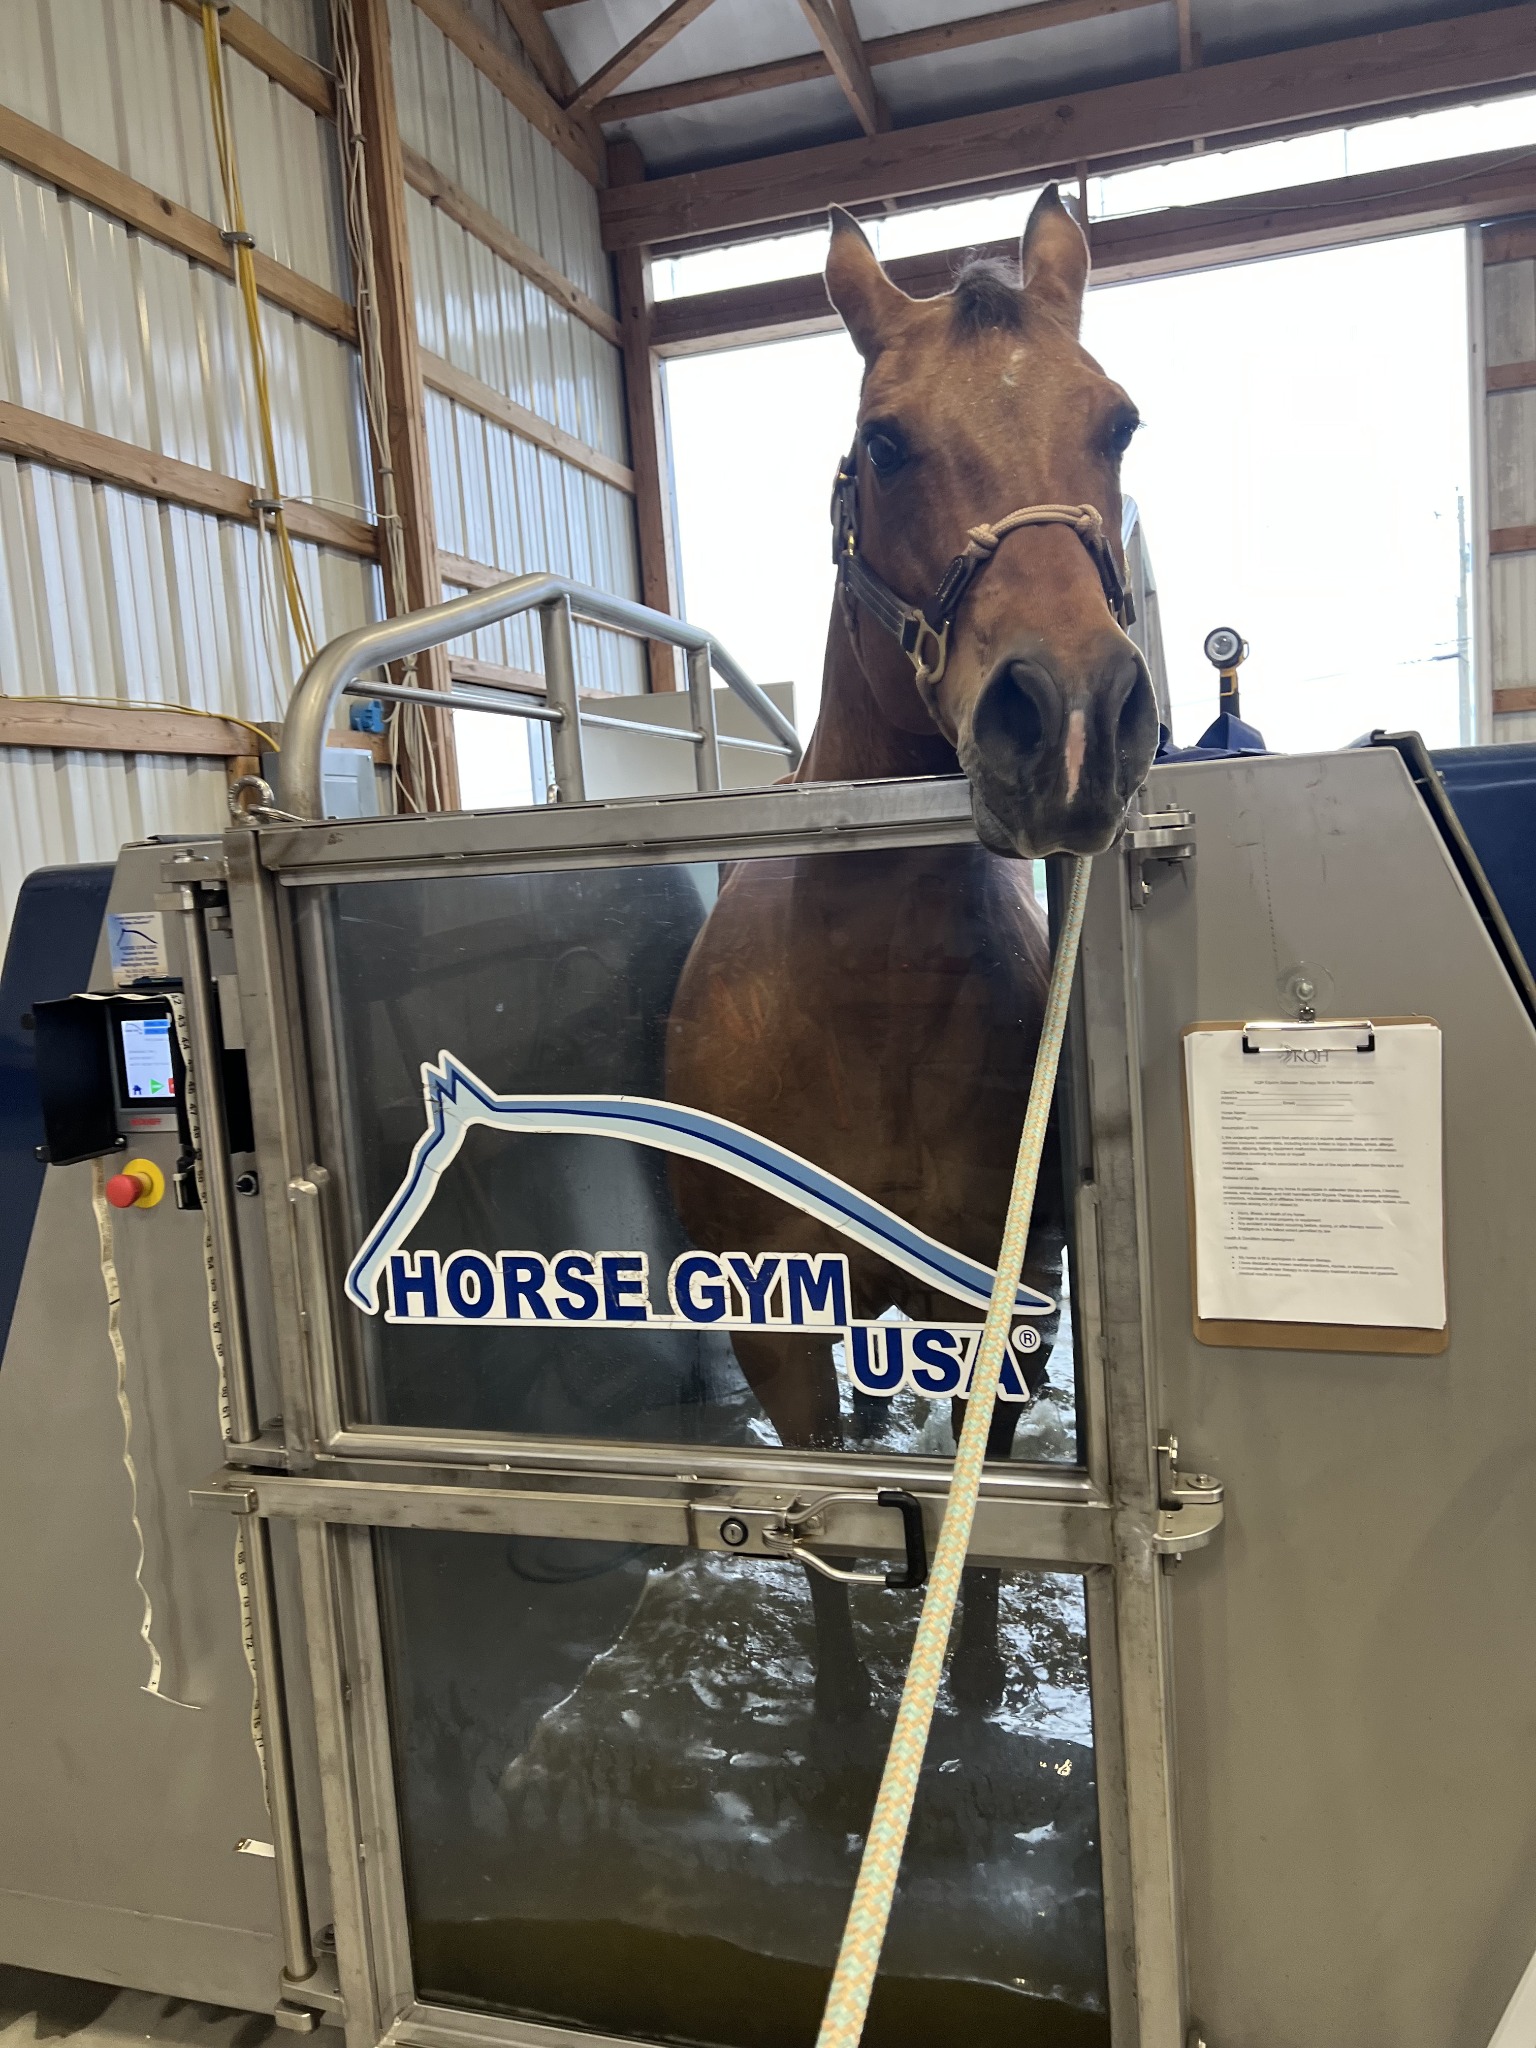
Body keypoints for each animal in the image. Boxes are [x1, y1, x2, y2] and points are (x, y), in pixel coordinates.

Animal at [665, 187, 1158, 1718]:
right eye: (884, 441)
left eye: (1117, 422)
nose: (1071, 718)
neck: (862, 1005)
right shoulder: (773, 1321)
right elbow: (817, 1508)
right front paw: (838, 1725)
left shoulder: (999, 1311)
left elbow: (981, 1505)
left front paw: (978, 1677)